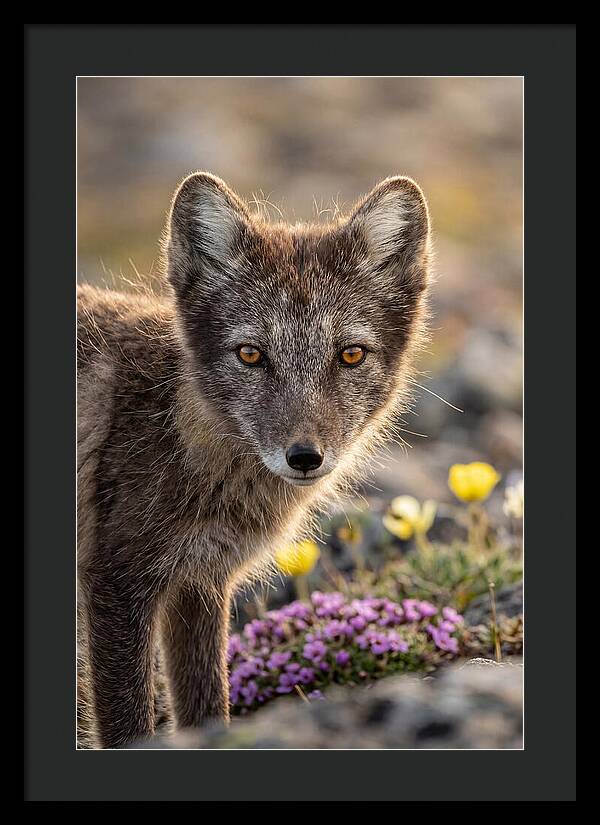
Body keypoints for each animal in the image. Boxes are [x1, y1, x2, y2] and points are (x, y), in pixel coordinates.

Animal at [77, 172, 432, 748]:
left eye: (350, 355)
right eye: (250, 354)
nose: (305, 457)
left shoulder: (199, 584)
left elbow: (207, 710)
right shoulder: (116, 582)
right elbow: (129, 726)